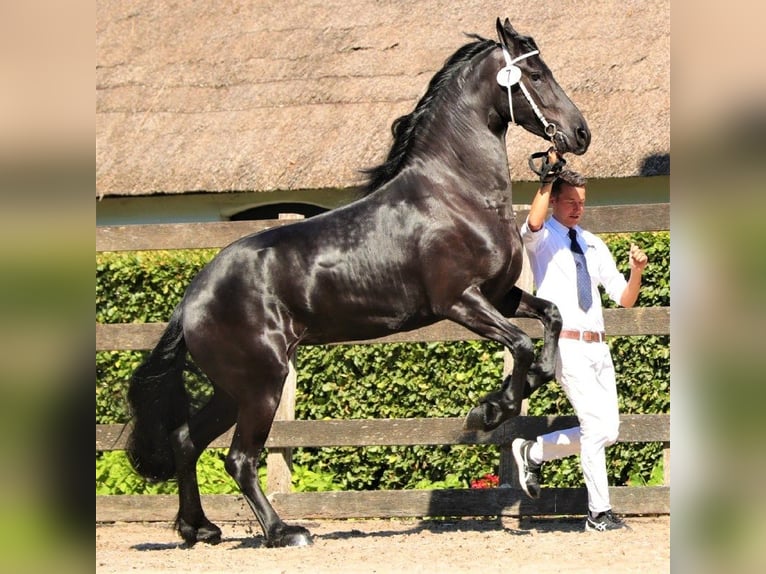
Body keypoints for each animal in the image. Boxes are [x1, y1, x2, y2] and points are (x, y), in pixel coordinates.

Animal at [126, 18, 591, 548]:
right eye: (534, 74)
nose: (580, 133)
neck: (456, 194)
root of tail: (192, 298)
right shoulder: (461, 302)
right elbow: (521, 345)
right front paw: (490, 410)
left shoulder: (501, 296)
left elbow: (551, 320)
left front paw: (506, 396)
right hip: (261, 386)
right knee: (239, 458)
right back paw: (284, 531)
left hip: (232, 389)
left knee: (186, 441)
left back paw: (198, 527)